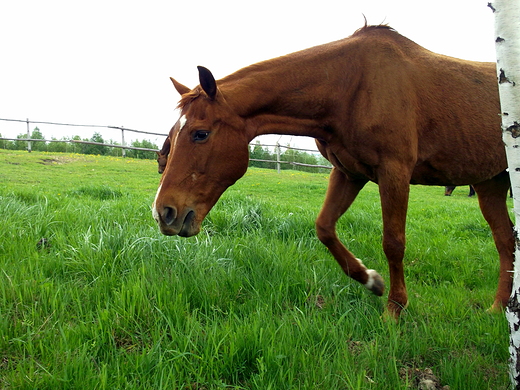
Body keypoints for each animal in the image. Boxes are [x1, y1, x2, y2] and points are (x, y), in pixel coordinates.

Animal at [152, 24, 512, 318]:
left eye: (200, 133)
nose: (164, 213)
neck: (351, 85)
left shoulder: (394, 172)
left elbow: (393, 242)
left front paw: (394, 310)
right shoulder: (348, 173)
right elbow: (324, 228)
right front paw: (371, 281)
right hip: (491, 183)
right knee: (505, 240)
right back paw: (498, 307)